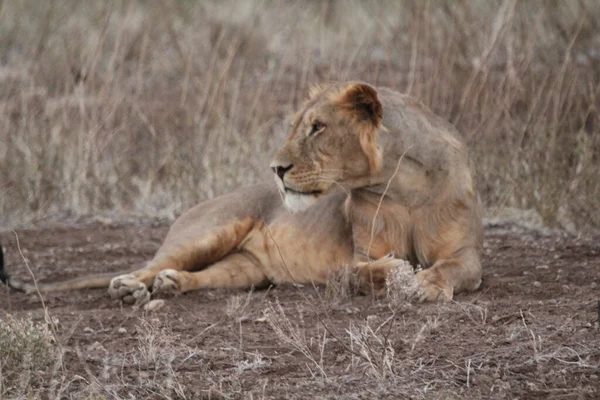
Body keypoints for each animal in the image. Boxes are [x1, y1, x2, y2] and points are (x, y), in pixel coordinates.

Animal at [0, 83, 482, 304]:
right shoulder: (354, 257)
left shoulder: (468, 253)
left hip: (247, 269)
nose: (276, 169)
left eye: (318, 127)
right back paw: (130, 288)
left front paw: (428, 284)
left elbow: (455, 268)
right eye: (298, 126)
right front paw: (400, 272)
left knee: (199, 275)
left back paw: (172, 284)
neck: (400, 189)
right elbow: (367, 270)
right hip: (209, 232)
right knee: (146, 266)